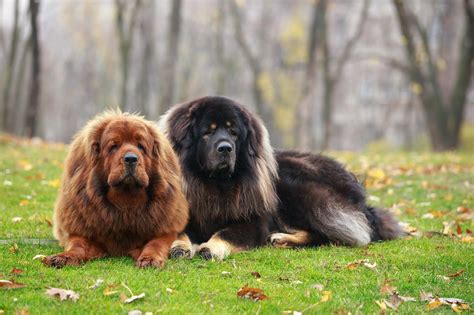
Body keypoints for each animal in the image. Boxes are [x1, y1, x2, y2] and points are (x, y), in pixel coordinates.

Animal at [42, 111, 187, 270]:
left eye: (141, 146)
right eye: (114, 146)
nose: (131, 159)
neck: (125, 204)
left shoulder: (165, 231)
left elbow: (155, 244)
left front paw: (150, 259)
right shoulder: (81, 231)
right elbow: (78, 245)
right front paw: (64, 257)